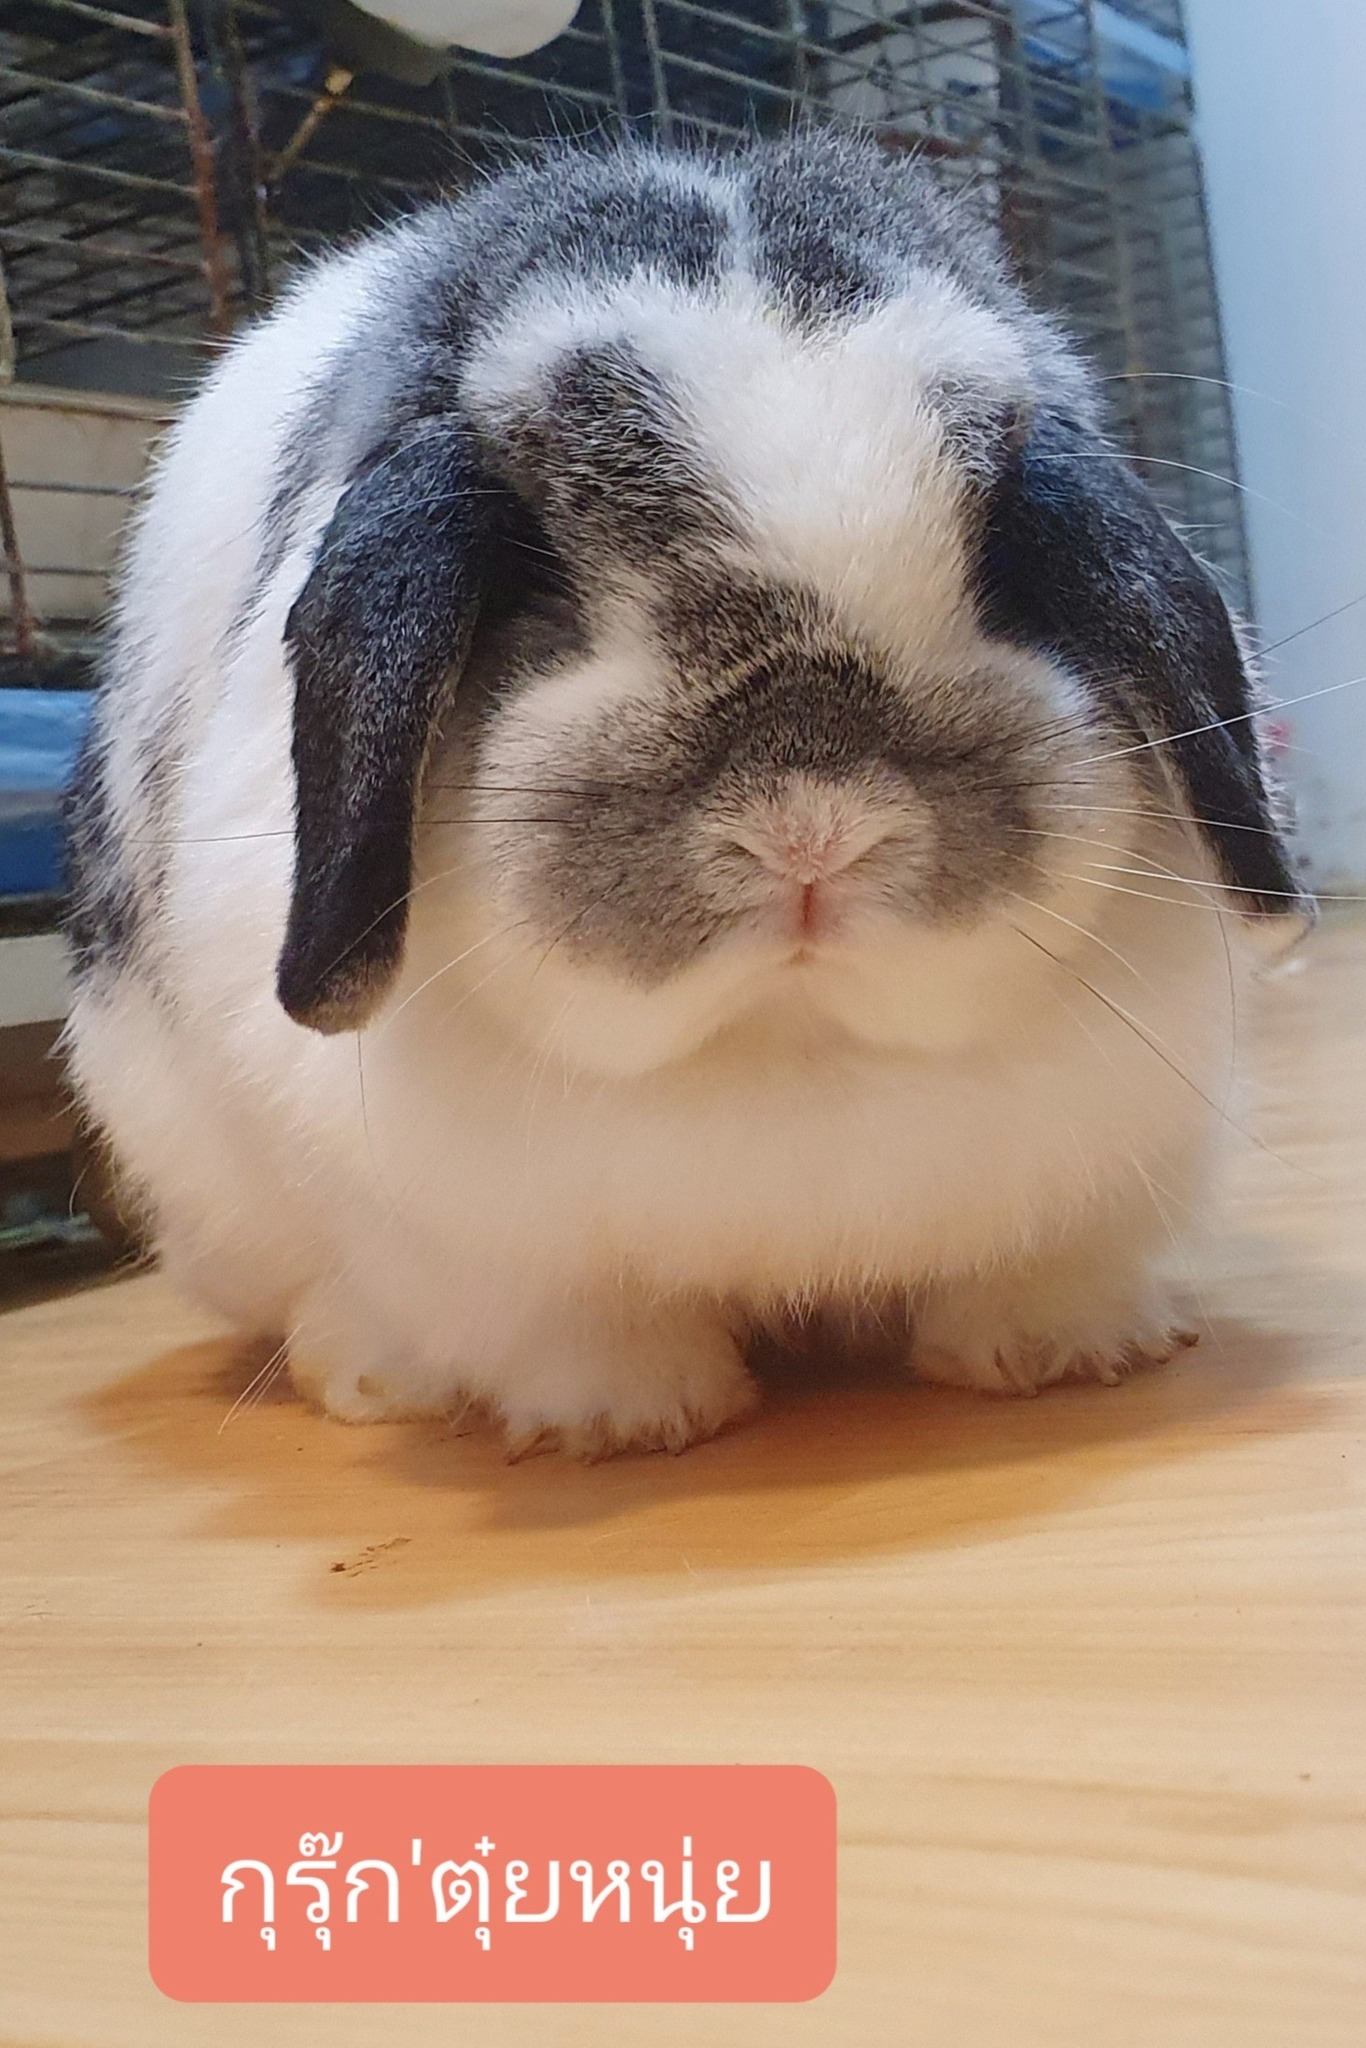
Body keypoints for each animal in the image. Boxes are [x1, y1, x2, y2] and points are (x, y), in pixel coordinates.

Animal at [63, 130, 1308, 1459]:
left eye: (998, 569)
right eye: (543, 590)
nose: (811, 831)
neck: (789, 1046)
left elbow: (1040, 1264)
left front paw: (1063, 1352)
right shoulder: (481, 1243)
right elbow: (565, 1326)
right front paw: (628, 1420)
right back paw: (371, 1374)